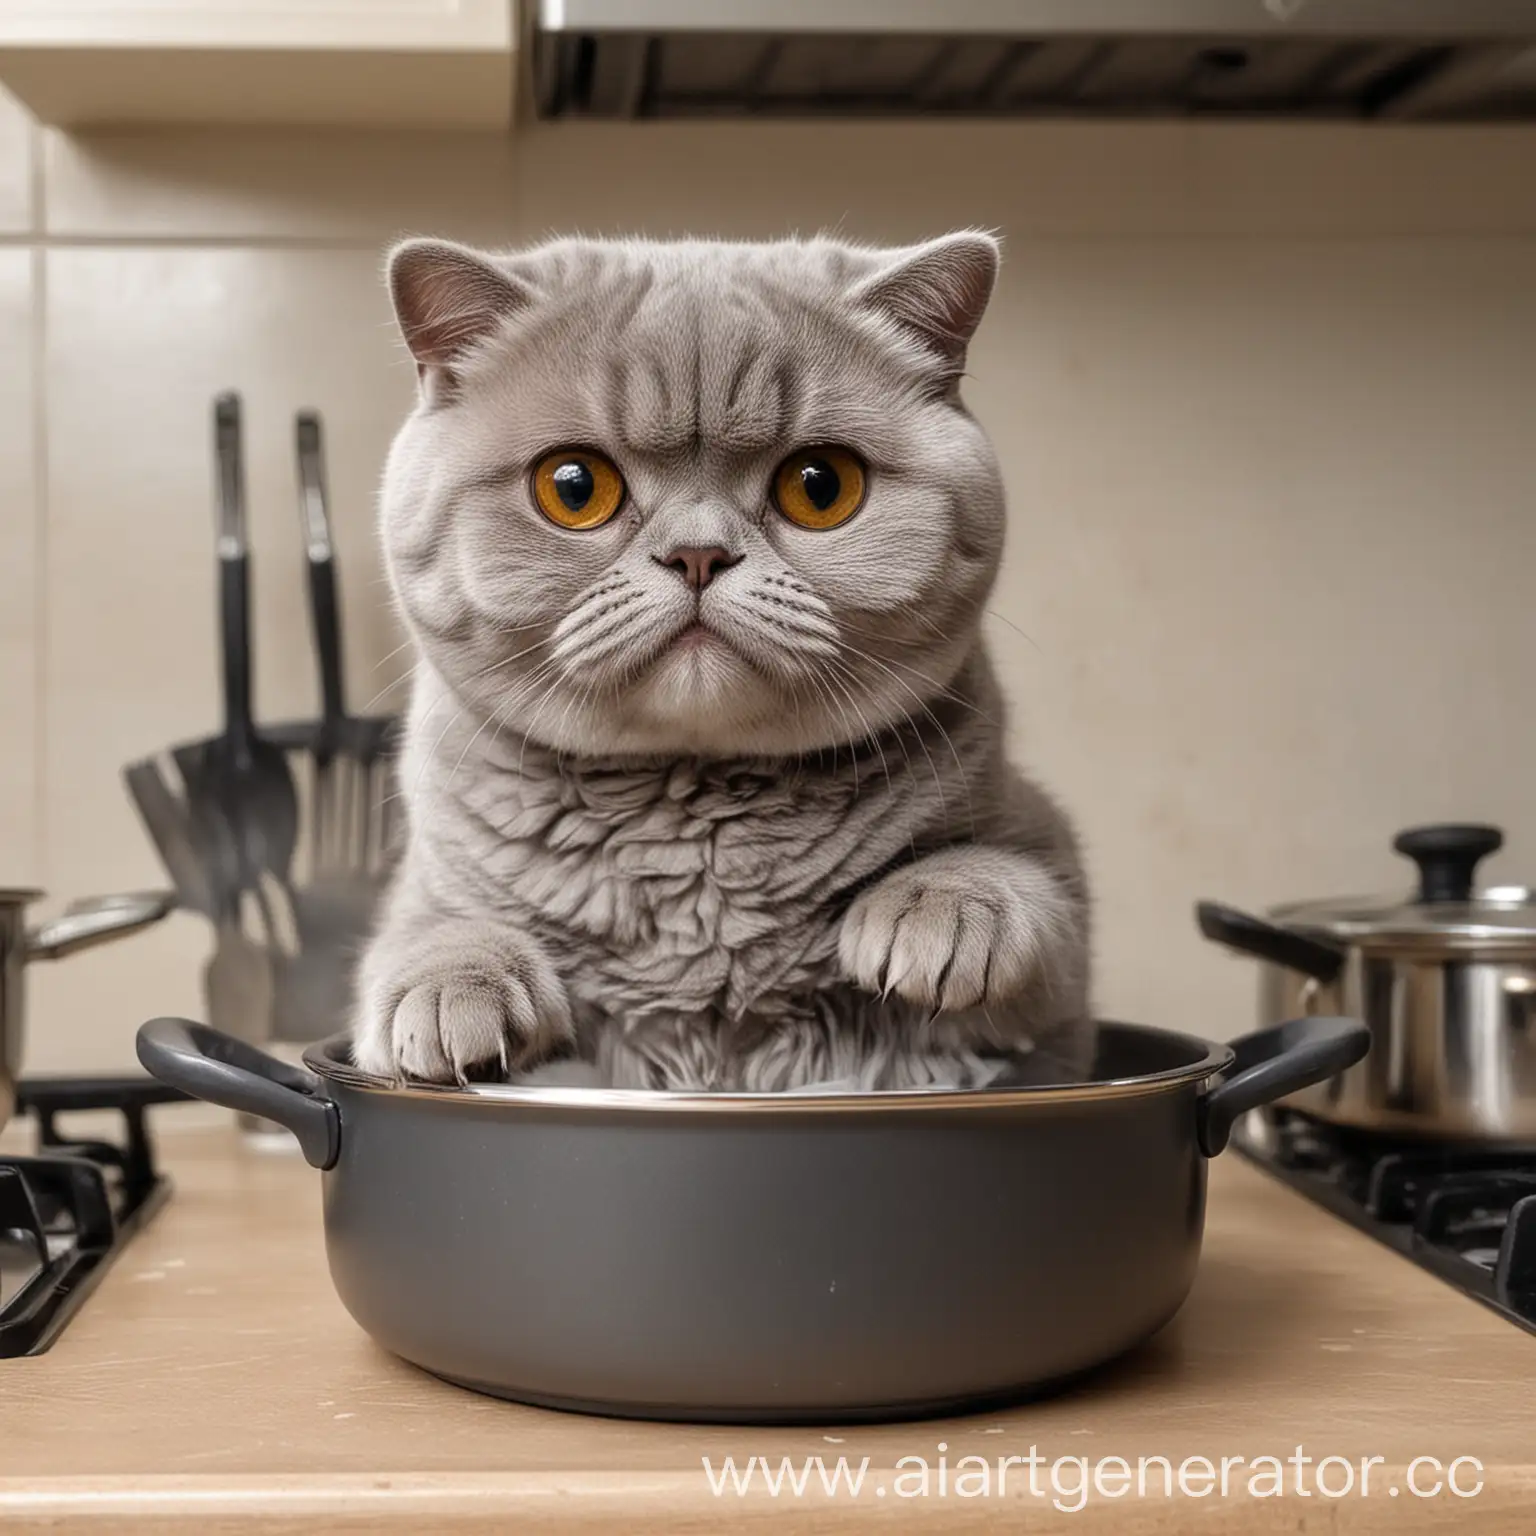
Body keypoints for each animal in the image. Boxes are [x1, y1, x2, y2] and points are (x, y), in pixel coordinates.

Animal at [353, 227, 1093, 1093]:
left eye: (820, 485)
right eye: (573, 487)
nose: (698, 553)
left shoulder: (1051, 979)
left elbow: (1023, 880)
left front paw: (944, 907)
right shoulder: (421, 888)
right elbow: (424, 933)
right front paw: (452, 987)